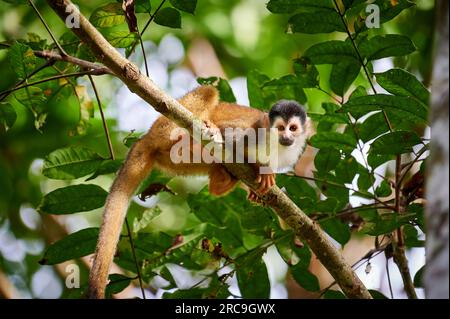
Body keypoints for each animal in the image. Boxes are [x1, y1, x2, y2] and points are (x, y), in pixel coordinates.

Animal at [88, 85, 312, 300]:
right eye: (280, 128)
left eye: (293, 128)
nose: (286, 137)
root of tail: (146, 138)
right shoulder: (255, 132)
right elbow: (230, 137)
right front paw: (260, 169)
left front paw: (256, 189)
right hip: (162, 127)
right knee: (207, 92)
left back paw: (222, 180)